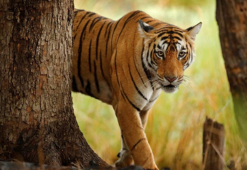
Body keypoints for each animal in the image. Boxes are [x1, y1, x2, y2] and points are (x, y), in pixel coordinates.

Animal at [71, 9, 201, 170]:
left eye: (181, 54)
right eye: (160, 54)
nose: (171, 78)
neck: (153, 82)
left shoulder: (143, 107)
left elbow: (129, 138)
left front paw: (123, 162)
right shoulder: (125, 104)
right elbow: (140, 143)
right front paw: (149, 166)